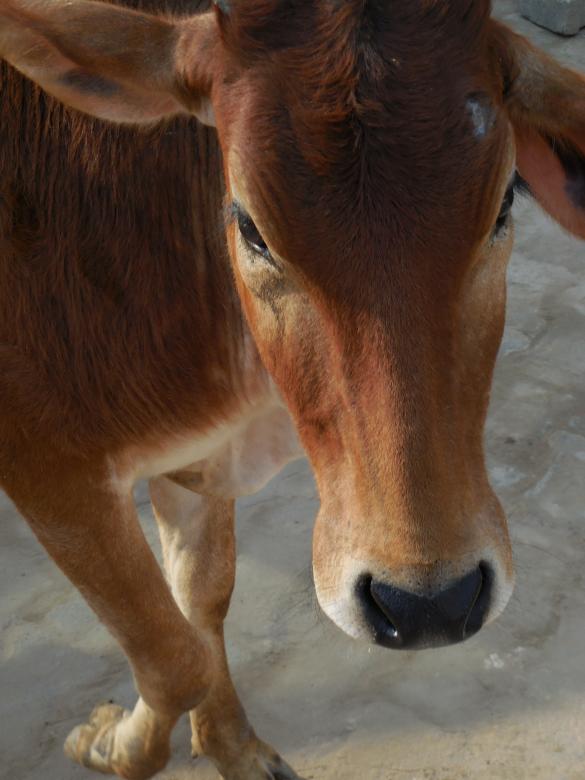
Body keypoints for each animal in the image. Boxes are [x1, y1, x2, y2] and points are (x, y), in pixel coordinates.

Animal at [0, 0, 583, 777]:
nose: (428, 604)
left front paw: (229, 747)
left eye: (503, 204)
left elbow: (202, 606)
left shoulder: (195, 464)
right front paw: (115, 746)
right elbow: (172, 657)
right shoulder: (49, 473)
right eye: (250, 227)